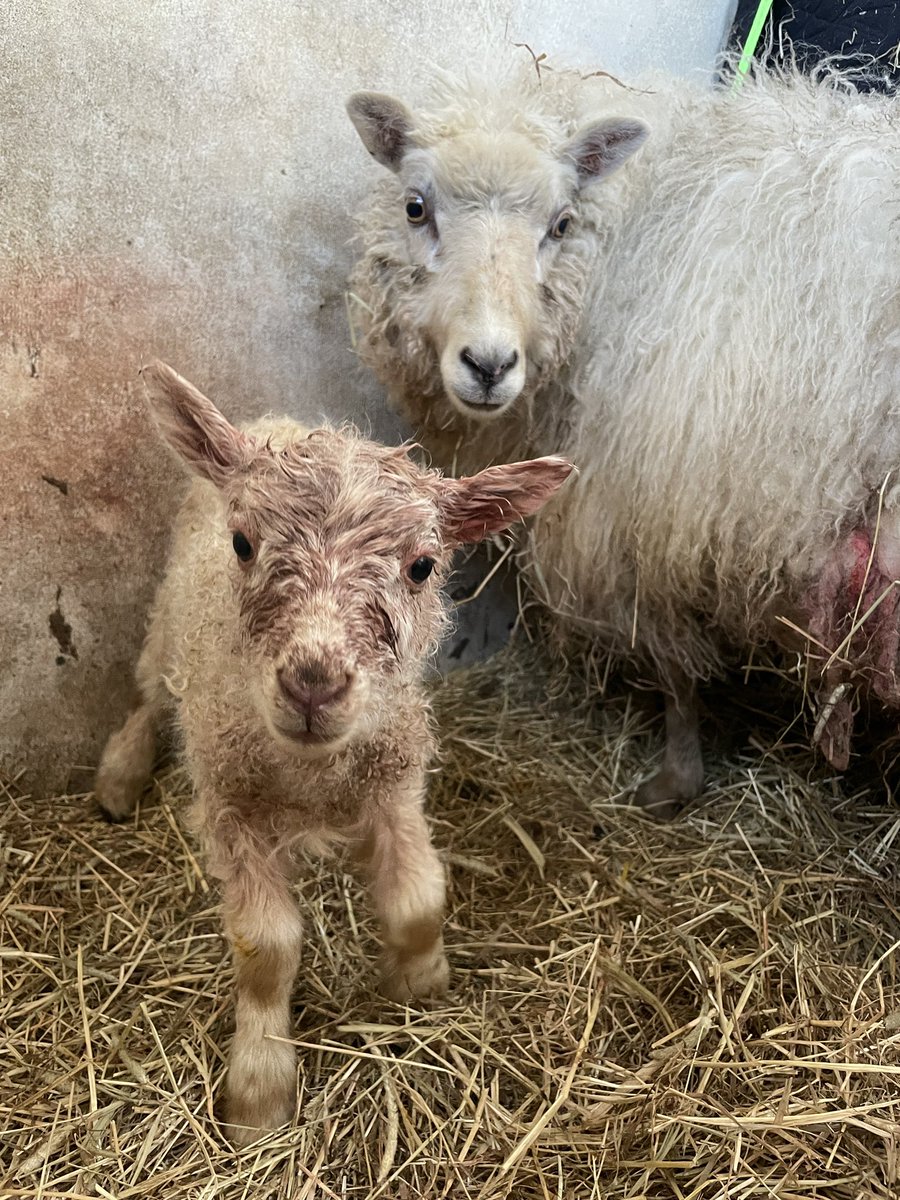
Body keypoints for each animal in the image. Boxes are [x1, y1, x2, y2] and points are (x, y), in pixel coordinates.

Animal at [91, 360, 571, 1147]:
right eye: (243, 543)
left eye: (422, 566)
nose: (312, 683)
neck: (311, 777)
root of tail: (280, 418)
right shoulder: (232, 808)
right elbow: (268, 947)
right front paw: (258, 1094)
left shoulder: (395, 789)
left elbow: (419, 899)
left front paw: (419, 985)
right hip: (168, 630)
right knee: (152, 695)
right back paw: (119, 778)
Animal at [345, 63, 900, 816]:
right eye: (414, 207)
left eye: (561, 223)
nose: (489, 365)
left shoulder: (640, 513)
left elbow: (673, 667)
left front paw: (676, 778)